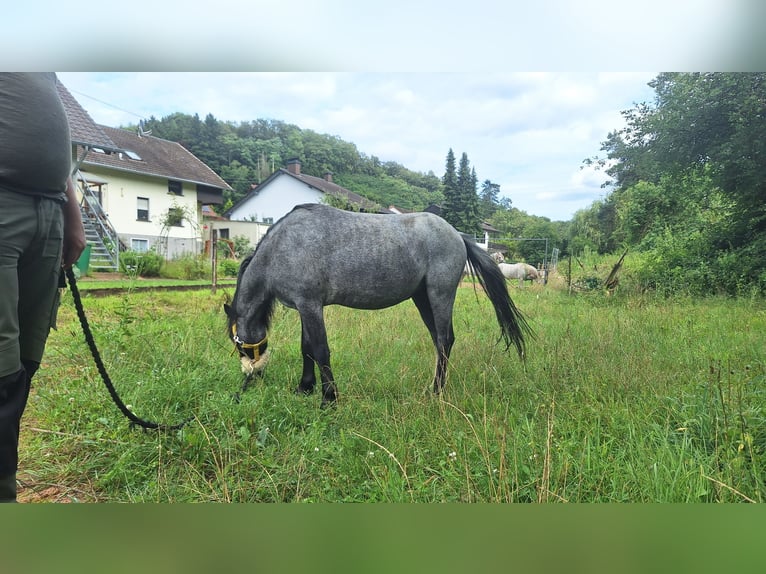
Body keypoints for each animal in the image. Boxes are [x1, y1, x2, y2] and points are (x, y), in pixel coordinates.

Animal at [224, 203, 531, 406]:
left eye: (237, 343)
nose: (251, 376)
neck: (282, 247)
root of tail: (459, 236)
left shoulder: (310, 306)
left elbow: (321, 351)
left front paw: (329, 399)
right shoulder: (304, 307)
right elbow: (307, 349)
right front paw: (305, 388)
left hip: (440, 294)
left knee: (445, 339)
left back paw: (435, 392)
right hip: (422, 298)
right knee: (439, 340)